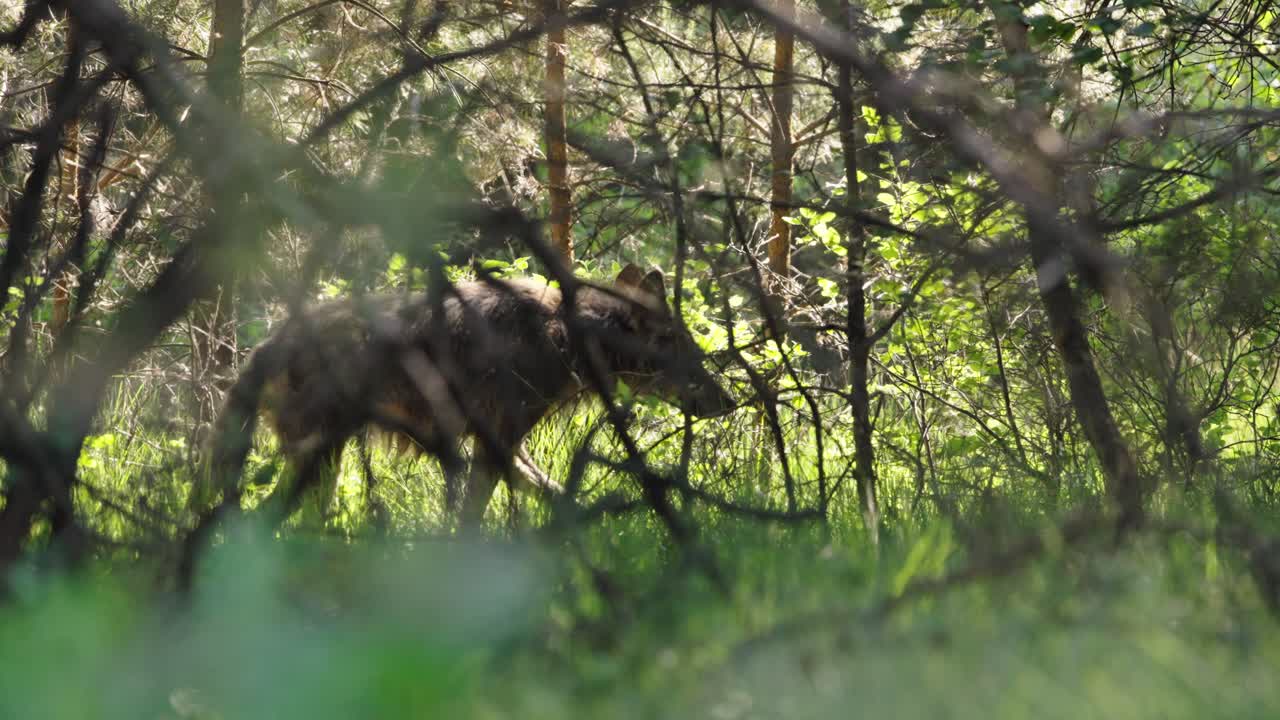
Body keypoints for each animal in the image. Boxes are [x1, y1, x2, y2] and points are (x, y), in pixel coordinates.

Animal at [197, 264, 734, 525]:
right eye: (676, 343)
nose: (727, 401)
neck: (566, 338)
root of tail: (268, 345)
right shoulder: (497, 444)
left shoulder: (501, 447)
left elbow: (559, 497)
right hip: (318, 459)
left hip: (321, 462)